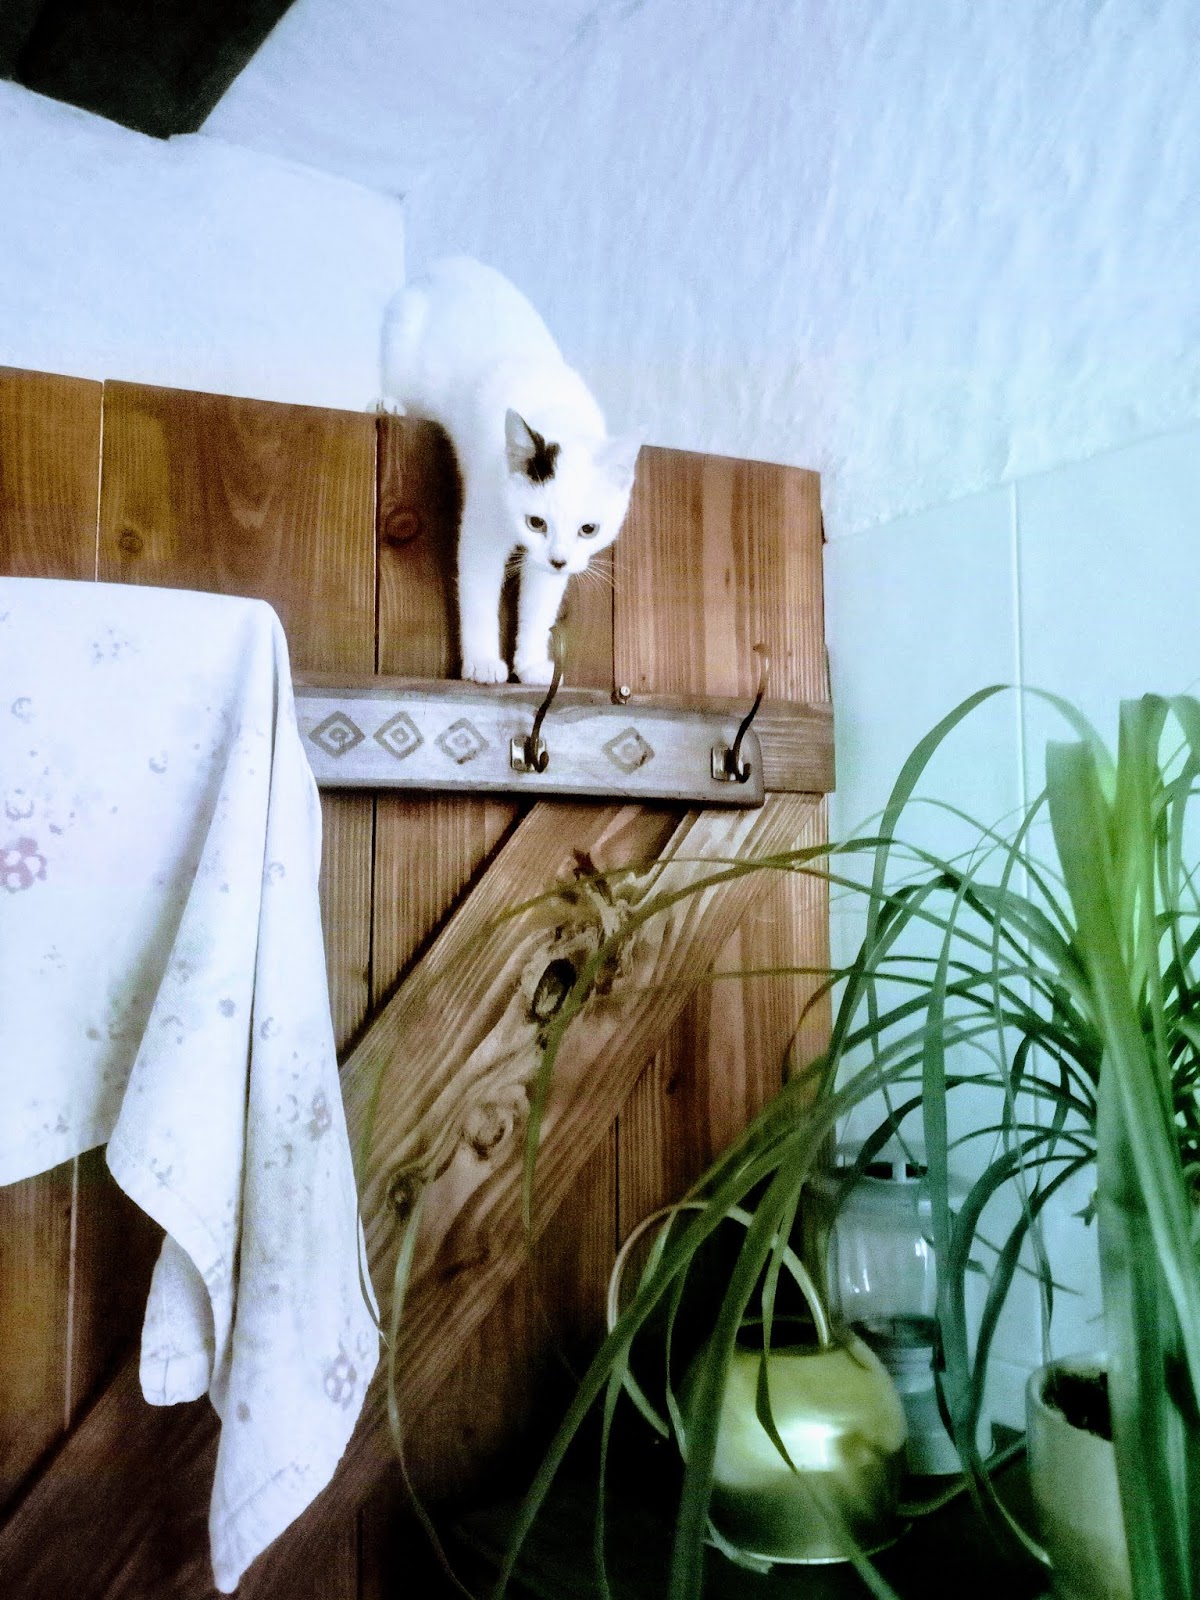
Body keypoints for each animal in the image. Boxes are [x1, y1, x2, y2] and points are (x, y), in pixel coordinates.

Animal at [381, 257, 641, 686]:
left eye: (589, 529)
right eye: (535, 523)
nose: (558, 561)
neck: (558, 412)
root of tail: (451, 262)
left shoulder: (550, 566)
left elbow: (539, 606)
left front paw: (532, 664)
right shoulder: (484, 522)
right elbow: (478, 590)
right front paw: (483, 662)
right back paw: (387, 403)